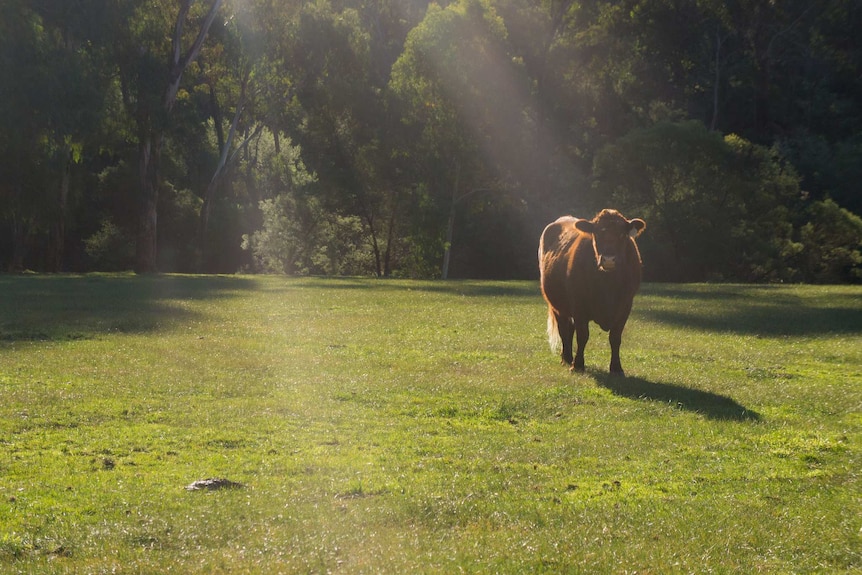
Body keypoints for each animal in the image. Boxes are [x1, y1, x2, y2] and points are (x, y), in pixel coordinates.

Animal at [540, 209, 648, 376]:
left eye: (622, 235)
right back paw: (567, 358)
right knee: (563, 329)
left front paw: (616, 368)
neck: (607, 286)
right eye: (597, 234)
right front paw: (578, 365)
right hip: (557, 305)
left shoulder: (625, 306)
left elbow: (615, 337)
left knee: (569, 329)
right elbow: (583, 335)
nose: (609, 260)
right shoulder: (579, 306)